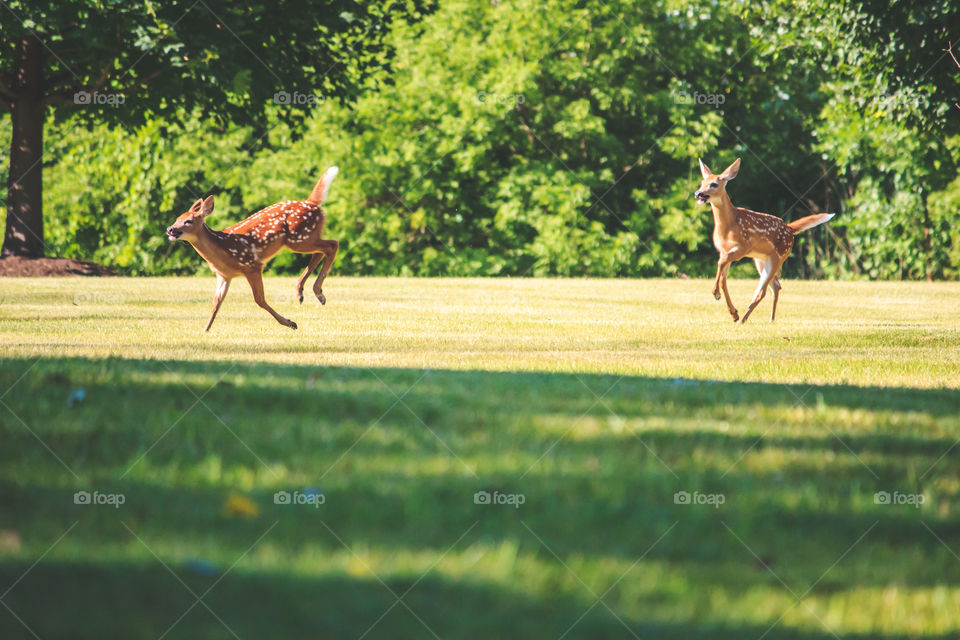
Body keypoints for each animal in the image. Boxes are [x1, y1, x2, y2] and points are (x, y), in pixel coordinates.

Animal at [168, 168, 342, 332]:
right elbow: (216, 303)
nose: (170, 229)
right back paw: (301, 292)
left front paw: (290, 323)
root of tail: (313, 202)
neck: (222, 248)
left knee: (332, 244)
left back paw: (318, 293)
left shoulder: (252, 265)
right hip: (303, 238)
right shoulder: (224, 275)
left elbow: (259, 299)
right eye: (177, 219)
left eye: (188, 221)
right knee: (320, 252)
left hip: (298, 238)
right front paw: (205, 329)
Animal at [692, 156, 836, 324]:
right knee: (775, 286)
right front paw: (733, 312)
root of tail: (790, 228)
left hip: (778, 256)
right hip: (761, 259)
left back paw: (745, 319)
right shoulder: (723, 250)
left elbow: (720, 265)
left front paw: (716, 294)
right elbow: (723, 278)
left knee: (764, 290)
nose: (698, 193)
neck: (729, 225)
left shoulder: (743, 247)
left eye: (714, 184)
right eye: (702, 182)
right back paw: (767, 319)